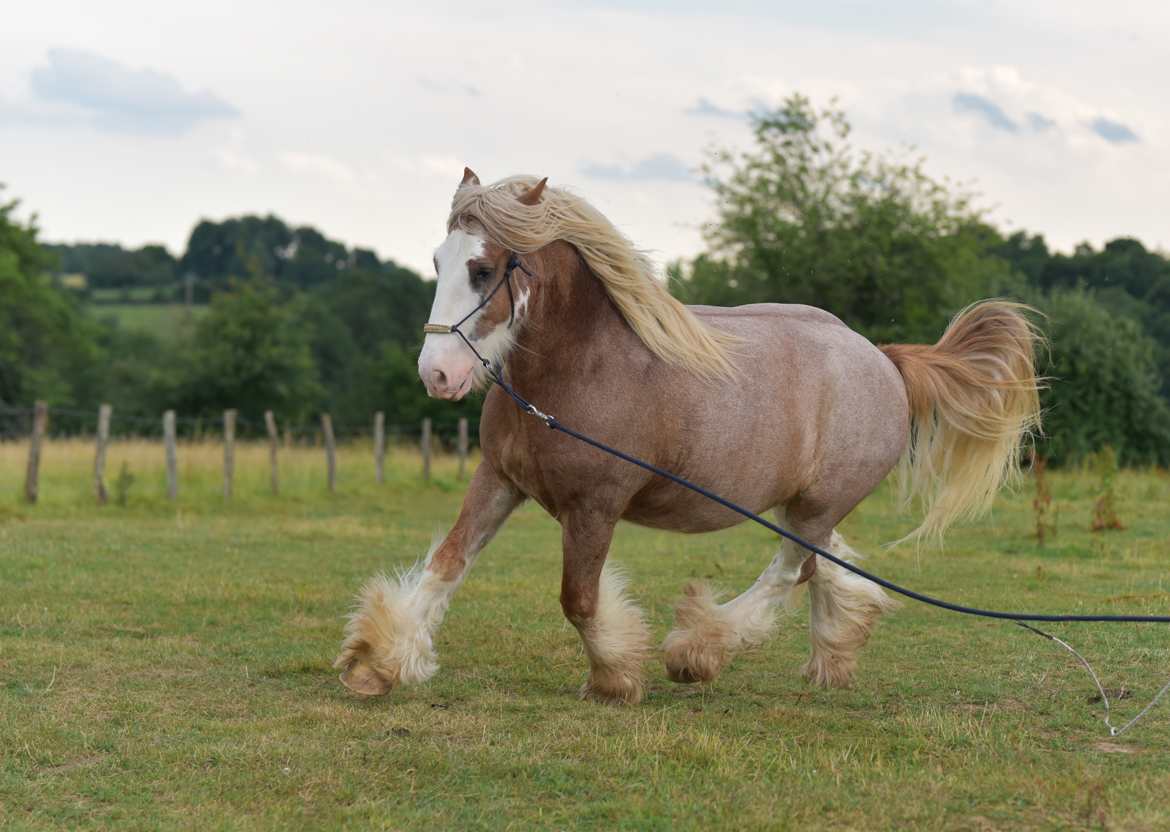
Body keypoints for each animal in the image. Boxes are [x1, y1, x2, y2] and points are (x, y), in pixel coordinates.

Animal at [332, 167, 1043, 702]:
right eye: (437, 261)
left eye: (482, 270)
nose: (437, 374)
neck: (579, 369)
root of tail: (885, 360)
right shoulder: (499, 480)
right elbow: (448, 564)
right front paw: (378, 663)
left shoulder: (594, 507)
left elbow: (579, 599)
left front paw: (616, 678)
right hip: (802, 506)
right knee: (826, 568)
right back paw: (833, 656)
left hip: (818, 505)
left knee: (790, 571)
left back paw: (698, 651)